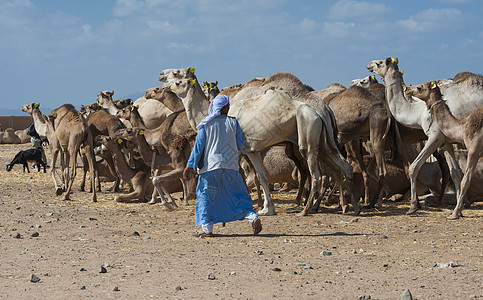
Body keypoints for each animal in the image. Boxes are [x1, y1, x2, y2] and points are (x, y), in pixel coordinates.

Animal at [366, 56, 468, 216]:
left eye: (380, 62)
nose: (369, 64)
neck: (417, 113)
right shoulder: (446, 142)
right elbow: (455, 173)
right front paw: (459, 210)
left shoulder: (434, 138)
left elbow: (413, 167)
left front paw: (413, 206)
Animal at [406, 81, 482, 219]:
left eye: (420, 87)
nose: (408, 89)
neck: (462, 127)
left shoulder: (474, 150)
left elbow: (465, 181)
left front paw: (455, 213)